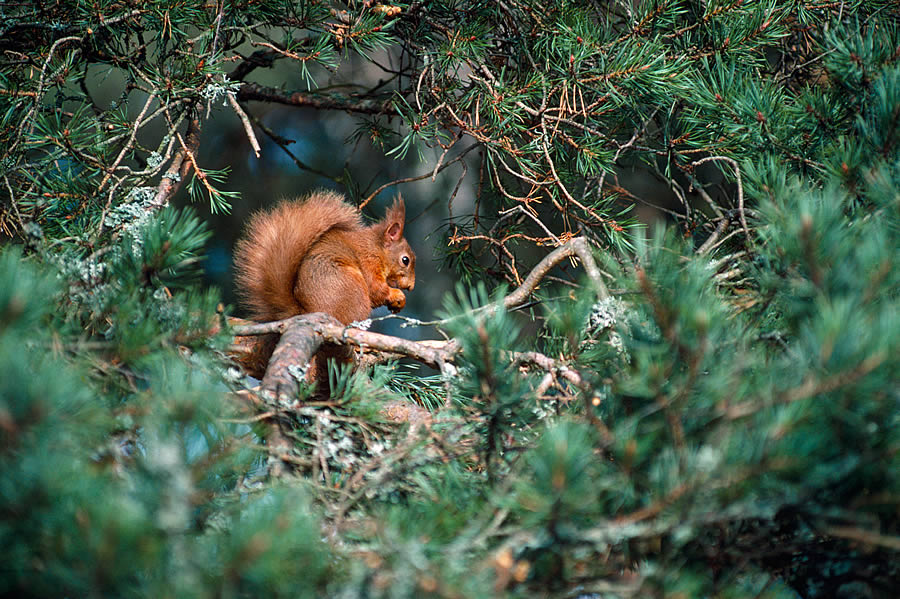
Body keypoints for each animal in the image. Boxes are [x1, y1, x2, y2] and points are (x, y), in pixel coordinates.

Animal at [232, 189, 414, 328]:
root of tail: (305, 312)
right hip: (353, 289)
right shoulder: (369, 262)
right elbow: (376, 290)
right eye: (405, 260)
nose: (410, 287)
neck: (376, 247)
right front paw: (397, 295)